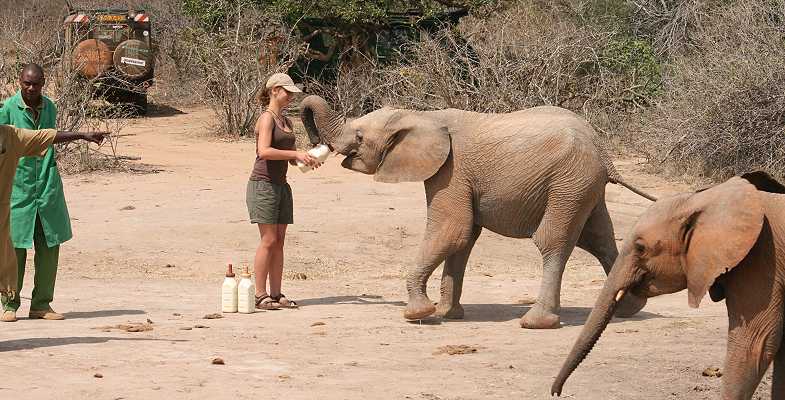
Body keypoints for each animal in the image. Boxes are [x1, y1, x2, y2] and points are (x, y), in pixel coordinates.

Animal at [300, 97, 656, 328]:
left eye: (360, 137)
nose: (316, 147)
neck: (422, 116)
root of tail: (605, 154)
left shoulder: (451, 171)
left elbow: (452, 230)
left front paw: (418, 314)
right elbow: (465, 238)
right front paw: (447, 314)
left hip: (569, 182)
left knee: (554, 241)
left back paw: (536, 321)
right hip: (583, 186)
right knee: (599, 239)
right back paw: (627, 311)